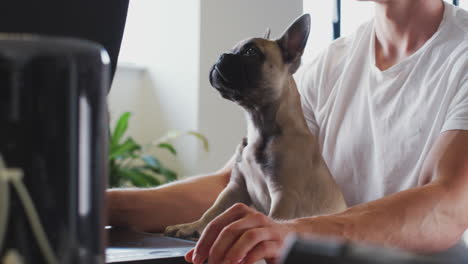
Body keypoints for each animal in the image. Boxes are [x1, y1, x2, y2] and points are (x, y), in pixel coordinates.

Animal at [166, 14, 346, 239]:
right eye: (233, 48)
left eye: (250, 52)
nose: (222, 55)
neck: (260, 127)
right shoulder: (235, 187)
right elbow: (213, 210)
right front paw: (193, 225)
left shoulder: (284, 195)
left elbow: (273, 218)